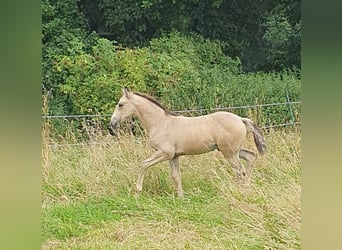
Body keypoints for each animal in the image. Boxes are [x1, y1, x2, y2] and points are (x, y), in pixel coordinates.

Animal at [111, 88, 266, 197]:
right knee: (251, 157)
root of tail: (240, 119)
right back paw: (246, 187)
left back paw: (238, 189)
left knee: (239, 170)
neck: (160, 123)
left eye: (120, 104)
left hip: (229, 152)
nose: (112, 123)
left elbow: (143, 164)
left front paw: (137, 191)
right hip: (233, 151)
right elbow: (175, 176)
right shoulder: (173, 156)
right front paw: (181, 197)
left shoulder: (164, 153)